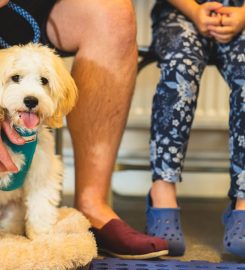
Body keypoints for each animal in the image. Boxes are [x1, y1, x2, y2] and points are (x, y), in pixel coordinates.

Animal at [0, 44, 76, 240]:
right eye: (15, 77)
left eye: (44, 80)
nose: (31, 100)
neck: (21, 135)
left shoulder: (42, 170)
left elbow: (41, 204)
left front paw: (41, 237)